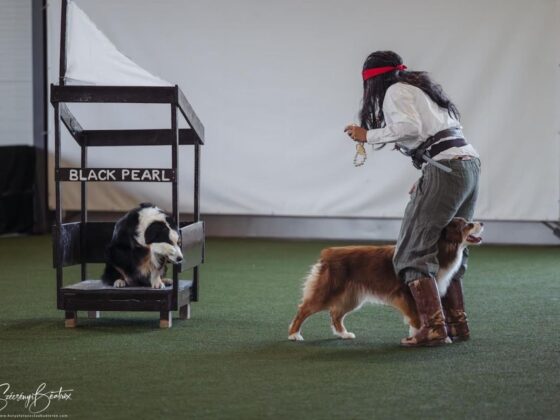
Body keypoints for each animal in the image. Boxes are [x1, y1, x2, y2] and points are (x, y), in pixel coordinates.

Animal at [288, 217, 482, 342]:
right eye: (468, 224)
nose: (482, 222)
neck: (442, 248)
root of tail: (328, 252)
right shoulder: (407, 293)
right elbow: (416, 318)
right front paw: (418, 336)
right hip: (328, 291)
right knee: (304, 309)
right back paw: (294, 334)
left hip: (352, 297)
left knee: (335, 314)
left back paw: (344, 334)